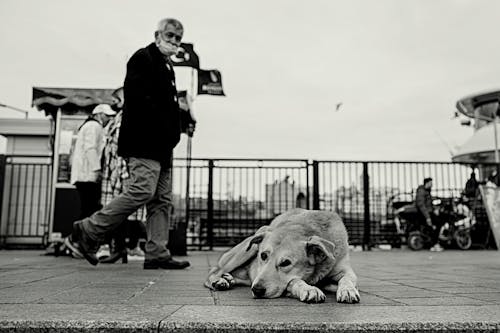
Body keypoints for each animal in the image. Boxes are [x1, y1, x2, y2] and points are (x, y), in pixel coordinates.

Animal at [203, 209, 360, 302]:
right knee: (214, 271)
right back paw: (219, 281)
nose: (257, 290)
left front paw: (347, 290)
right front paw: (309, 289)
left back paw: (229, 279)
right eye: (263, 256)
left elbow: (346, 279)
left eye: (286, 263)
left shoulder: (344, 270)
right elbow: (294, 281)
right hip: (246, 251)